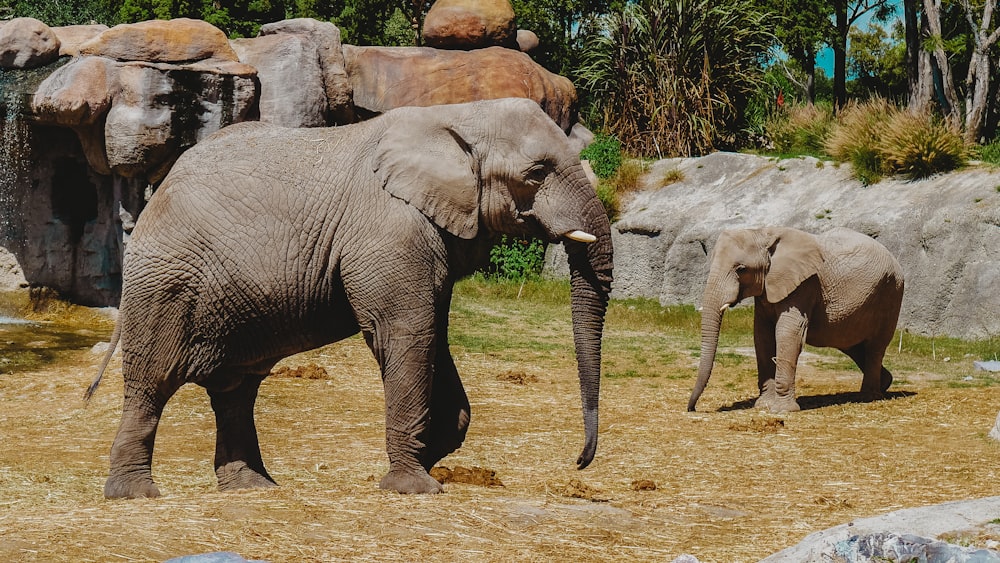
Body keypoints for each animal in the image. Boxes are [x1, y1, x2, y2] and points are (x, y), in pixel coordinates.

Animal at [90, 99, 612, 500]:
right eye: (537, 173)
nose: (580, 462)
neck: (456, 115)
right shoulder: (389, 230)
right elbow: (405, 334)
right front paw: (415, 486)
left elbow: (432, 340)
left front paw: (427, 459)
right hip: (164, 285)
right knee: (152, 384)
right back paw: (136, 495)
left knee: (235, 390)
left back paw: (253, 488)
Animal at [692, 226, 904, 414]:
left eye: (741, 269)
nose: (692, 408)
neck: (763, 232)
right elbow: (762, 336)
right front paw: (763, 405)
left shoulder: (804, 284)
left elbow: (787, 333)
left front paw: (781, 410)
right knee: (850, 344)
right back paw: (885, 383)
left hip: (891, 292)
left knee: (874, 346)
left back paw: (868, 396)